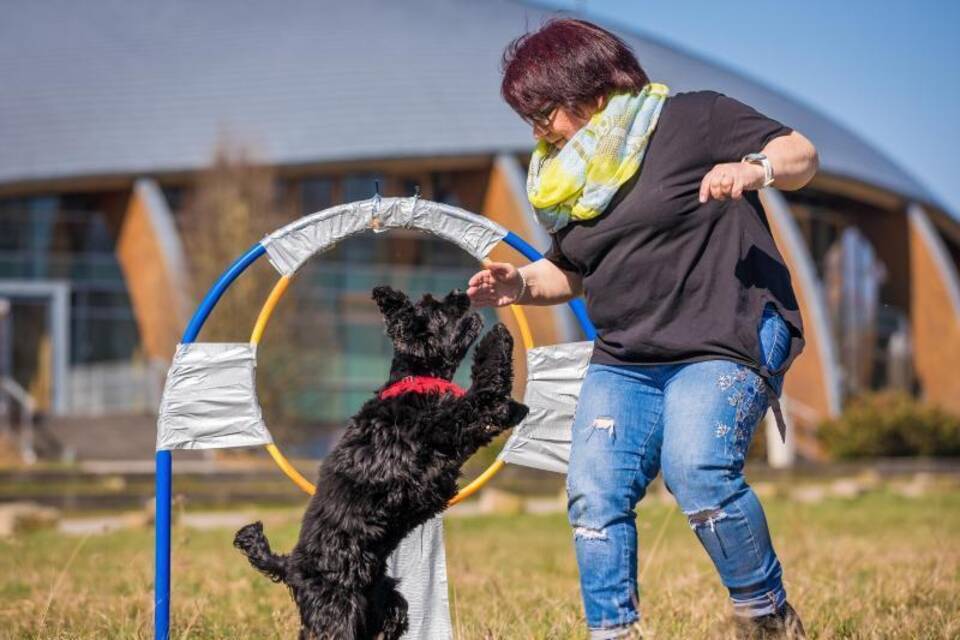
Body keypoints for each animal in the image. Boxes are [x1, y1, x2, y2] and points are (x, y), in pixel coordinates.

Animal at [235, 286, 528, 640]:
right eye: (435, 309)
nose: (460, 292)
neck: (416, 378)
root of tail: (288, 565)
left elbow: (495, 404)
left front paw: (518, 407)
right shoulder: (453, 422)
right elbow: (484, 390)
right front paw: (497, 338)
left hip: (385, 604)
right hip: (337, 609)